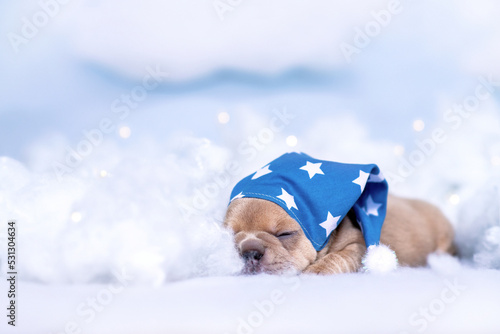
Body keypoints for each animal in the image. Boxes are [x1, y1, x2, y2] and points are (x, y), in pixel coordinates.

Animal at [225, 192, 456, 276]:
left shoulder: (358, 246)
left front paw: (316, 270)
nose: (249, 252)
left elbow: (337, 257)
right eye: (229, 235)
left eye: (284, 234)